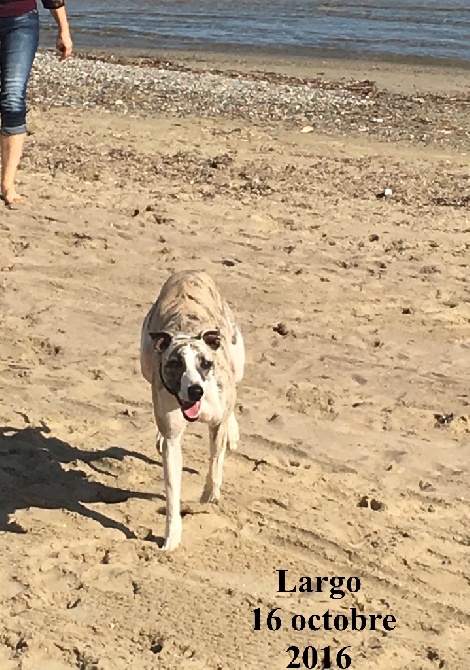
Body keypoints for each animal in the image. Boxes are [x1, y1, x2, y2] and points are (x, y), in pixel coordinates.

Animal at [140, 268, 244, 552]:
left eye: (205, 363)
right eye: (175, 364)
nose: (196, 390)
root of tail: (189, 272)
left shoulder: (216, 421)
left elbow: (215, 462)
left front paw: (210, 495)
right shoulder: (174, 440)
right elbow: (172, 489)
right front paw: (171, 537)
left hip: (237, 356)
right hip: (145, 362)